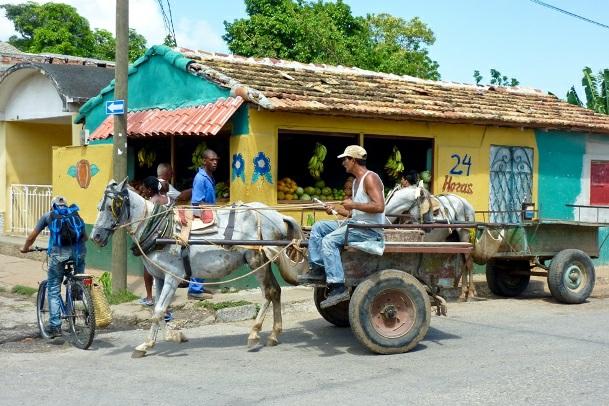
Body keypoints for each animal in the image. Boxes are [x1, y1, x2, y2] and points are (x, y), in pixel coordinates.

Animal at [89, 179, 308, 356]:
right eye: (98, 206)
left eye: (111, 206)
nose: (95, 237)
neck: (159, 230)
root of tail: (277, 216)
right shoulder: (159, 277)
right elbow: (159, 311)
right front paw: (163, 339)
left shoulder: (173, 276)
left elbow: (159, 310)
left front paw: (155, 342)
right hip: (265, 261)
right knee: (276, 291)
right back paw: (274, 334)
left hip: (257, 260)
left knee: (268, 293)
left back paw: (254, 333)